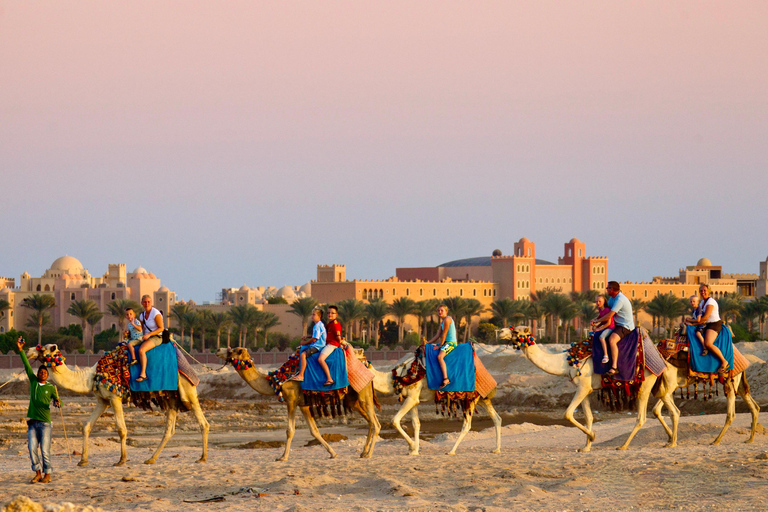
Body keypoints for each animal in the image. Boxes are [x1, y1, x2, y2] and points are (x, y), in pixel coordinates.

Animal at [27, 344, 209, 466]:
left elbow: (121, 429)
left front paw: (121, 460)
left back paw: (202, 457)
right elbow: (86, 426)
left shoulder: (115, 397)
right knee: (169, 430)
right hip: (170, 397)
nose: (28, 351)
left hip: (187, 390)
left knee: (203, 423)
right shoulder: (103, 400)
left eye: (43, 348)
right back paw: (151, 459)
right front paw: (82, 460)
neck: (90, 376)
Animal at [215, 347, 380, 460]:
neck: (277, 381)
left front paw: (282, 457)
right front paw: (333, 453)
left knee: (376, 423)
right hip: (354, 400)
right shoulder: (304, 404)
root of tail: (366, 364)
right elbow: (314, 430)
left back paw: (369, 454)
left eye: (235, 350)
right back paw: (363, 452)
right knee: (370, 422)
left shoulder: (291, 400)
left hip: (364, 393)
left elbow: (290, 430)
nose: (218, 350)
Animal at [367, 356, 502, 456]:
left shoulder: (412, 397)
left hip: (469, 399)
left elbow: (395, 420)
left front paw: (412, 447)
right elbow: (416, 423)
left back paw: (451, 451)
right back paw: (497, 449)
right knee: (497, 418)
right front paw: (415, 450)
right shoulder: (412, 398)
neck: (398, 377)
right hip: (482, 399)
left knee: (467, 425)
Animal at [500, 326, 759, 452]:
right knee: (752, 405)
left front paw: (592, 439)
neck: (567, 361)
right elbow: (589, 418)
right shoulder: (587, 389)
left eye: (518, 330)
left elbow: (567, 413)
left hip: (660, 384)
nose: (500, 331)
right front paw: (586, 446)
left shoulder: (583, 386)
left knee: (649, 415)